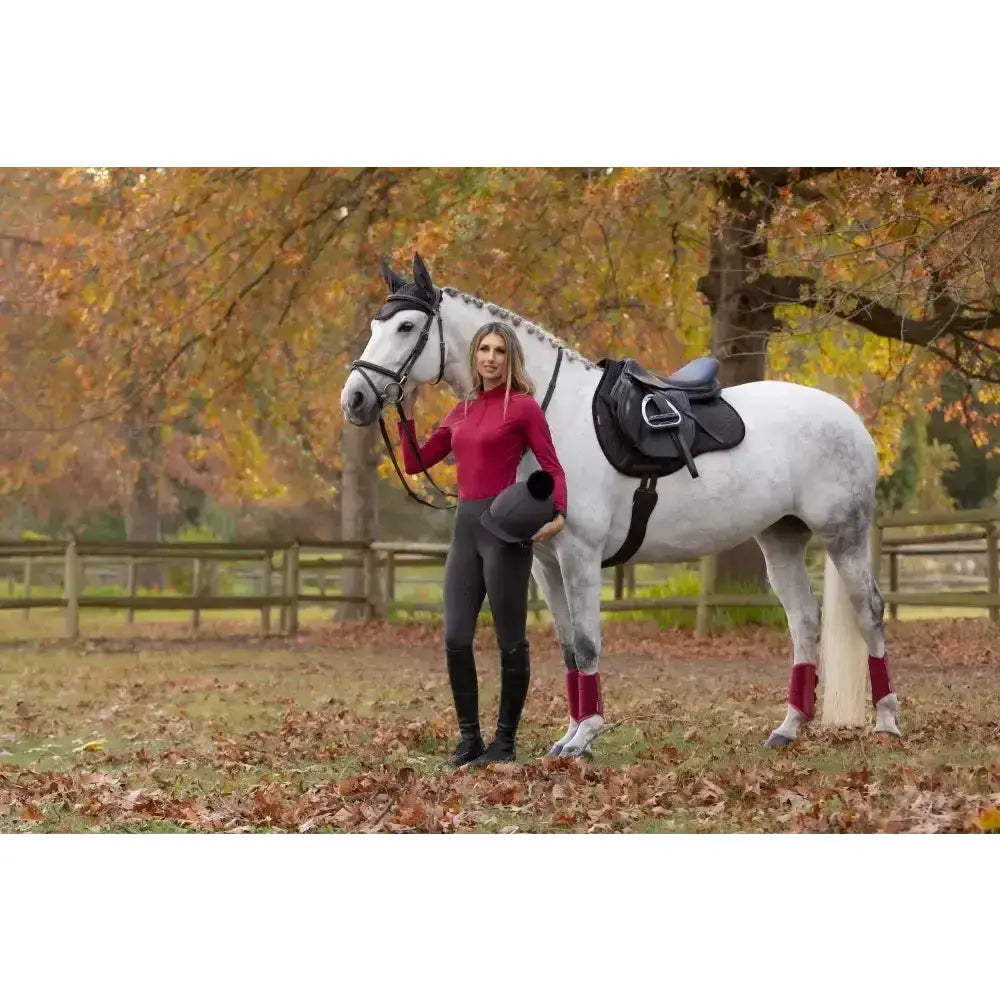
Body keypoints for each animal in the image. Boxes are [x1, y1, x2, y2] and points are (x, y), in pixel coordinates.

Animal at [340, 254, 901, 757]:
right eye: (375, 324)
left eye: (407, 325)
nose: (355, 399)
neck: (551, 415)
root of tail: (847, 416)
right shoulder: (545, 565)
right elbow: (569, 648)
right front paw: (571, 733)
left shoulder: (580, 557)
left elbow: (588, 643)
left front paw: (584, 738)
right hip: (781, 538)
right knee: (804, 621)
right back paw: (789, 728)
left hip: (843, 536)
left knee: (870, 612)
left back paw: (887, 722)